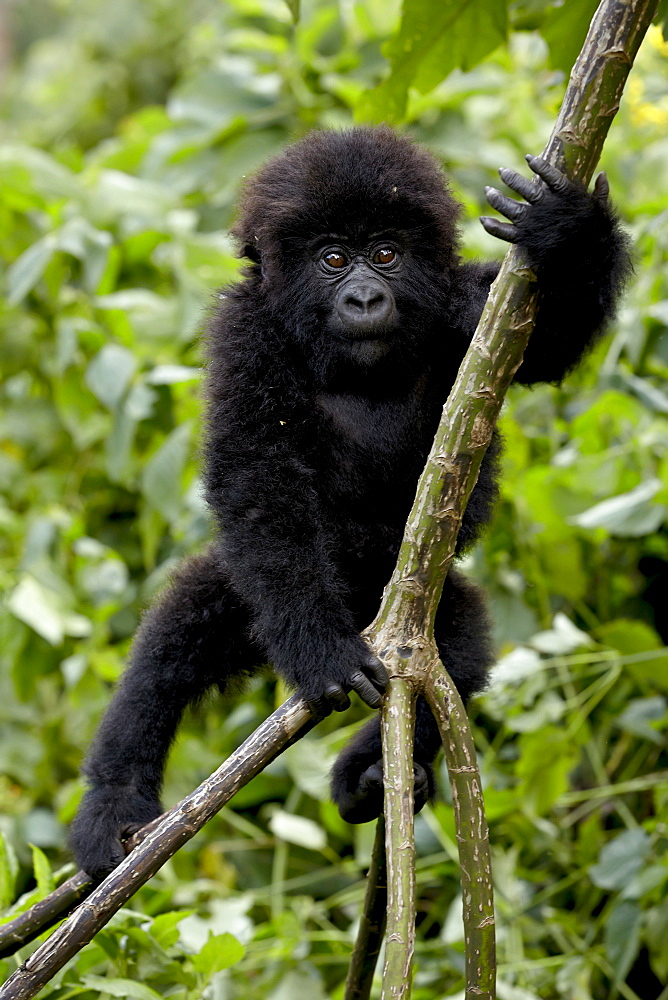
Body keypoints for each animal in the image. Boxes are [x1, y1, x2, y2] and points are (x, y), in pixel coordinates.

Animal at [73, 123, 632, 876]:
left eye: (386, 254)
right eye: (333, 259)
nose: (365, 298)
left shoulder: (471, 306)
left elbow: (548, 344)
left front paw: (568, 228)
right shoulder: (244, 333)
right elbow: (256, 476)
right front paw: (320, 649)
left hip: (412, 619)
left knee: (454, 653)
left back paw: (367, 775)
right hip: (255, 603)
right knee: (174, 639)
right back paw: (112, 803)